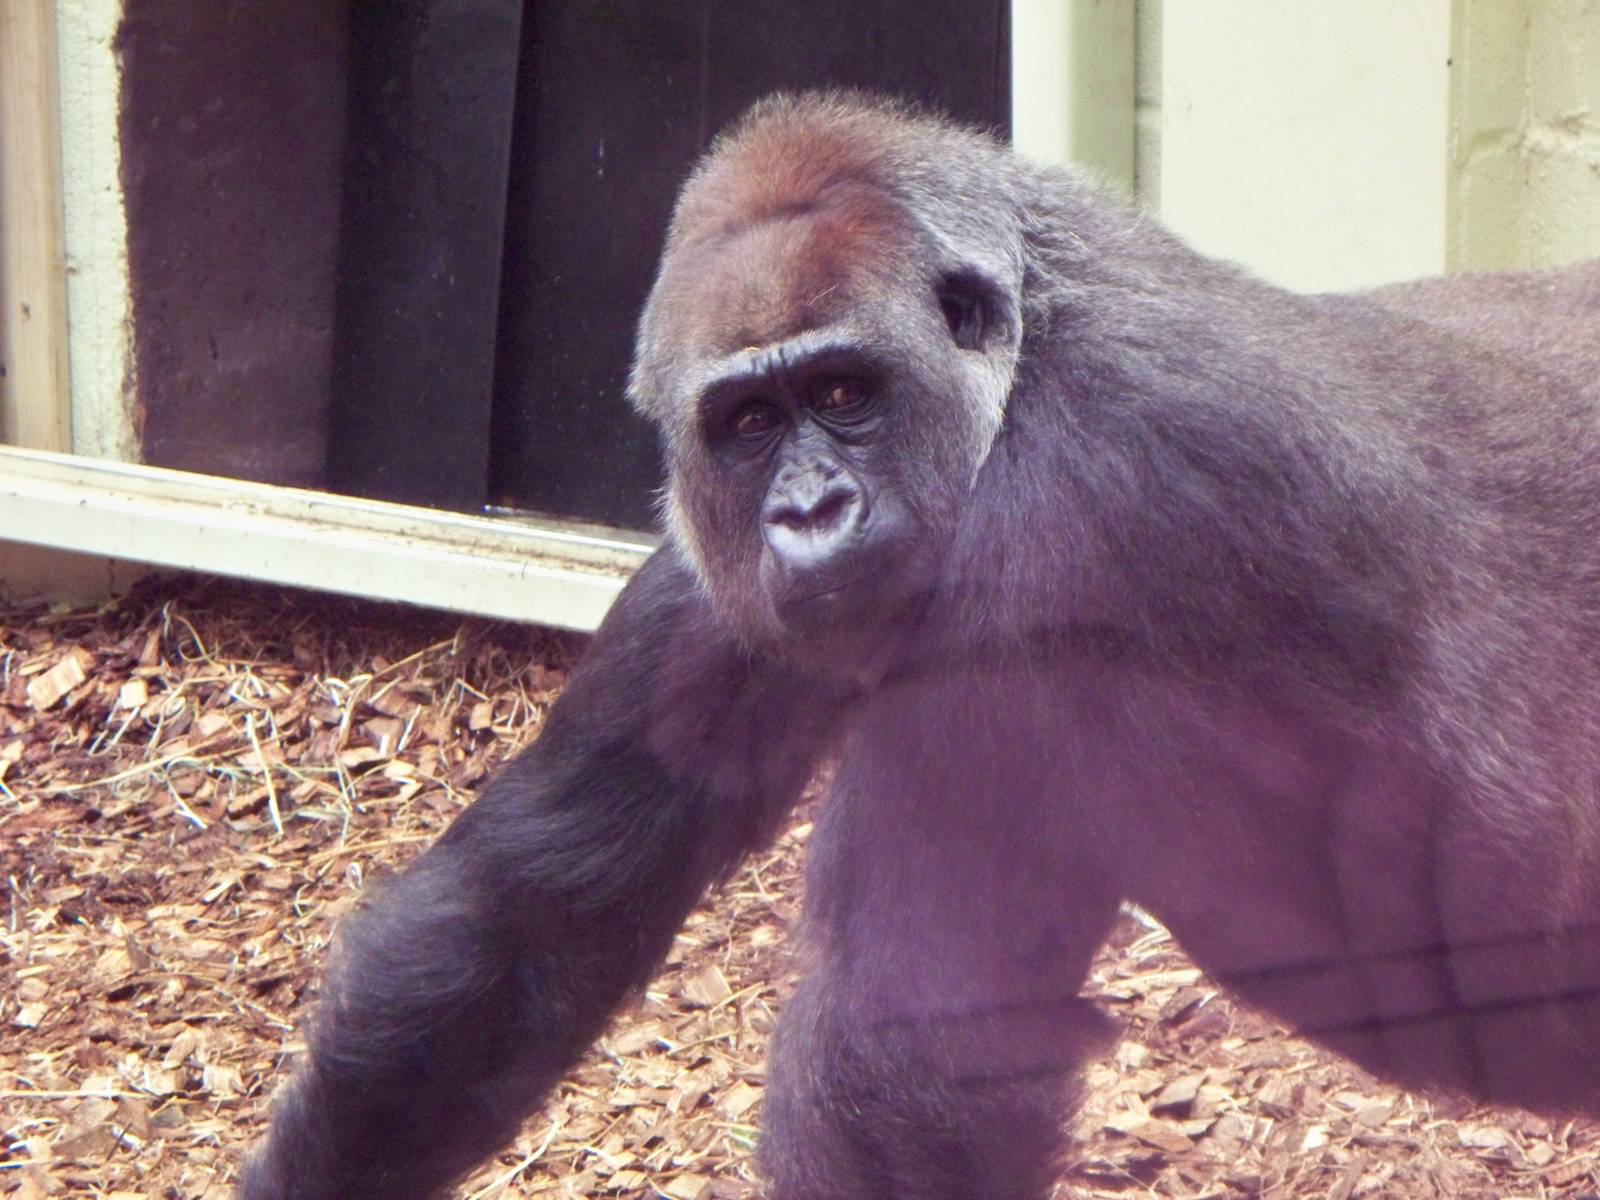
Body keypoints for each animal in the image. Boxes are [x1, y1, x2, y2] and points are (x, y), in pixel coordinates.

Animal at [239, 93, 1600, 1200]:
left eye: (846, 394)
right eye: (748, 423)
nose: (811, 514)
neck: (1027, 346)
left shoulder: (1067, 523)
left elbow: (905, 1063)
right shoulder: (712, 543)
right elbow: (526, 919)